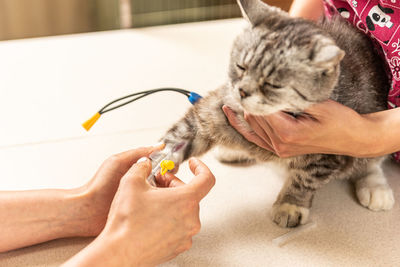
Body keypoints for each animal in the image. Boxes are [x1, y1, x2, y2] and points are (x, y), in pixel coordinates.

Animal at [159, 0, 394, 228]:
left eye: (273, 84)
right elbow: (180, 136)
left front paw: (290, 204)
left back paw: (375, 187)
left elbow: (304, 179)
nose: (242, 91)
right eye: (241, 67)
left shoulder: (327, 152)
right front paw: (160, 160)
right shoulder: (212, 110)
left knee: (370, 162)